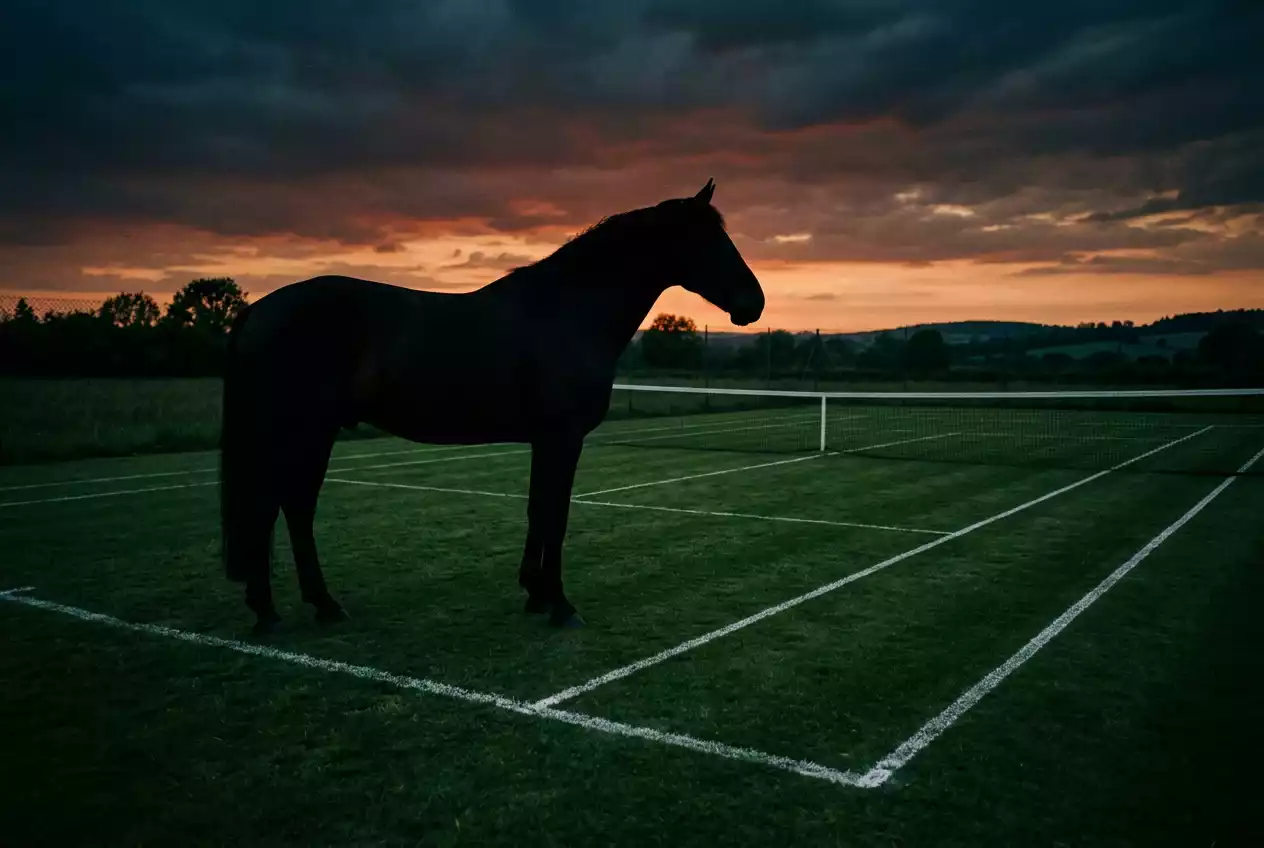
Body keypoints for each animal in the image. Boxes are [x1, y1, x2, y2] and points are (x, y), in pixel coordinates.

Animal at [219, 179, 765, 633]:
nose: (754, 303)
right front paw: (559, 604)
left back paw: (323, 605)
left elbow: (538, 508)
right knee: (273, 507)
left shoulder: (545, 440)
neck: (569, 310)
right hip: (299, 431)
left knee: (295, 507)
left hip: (315, 433)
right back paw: (269, 611)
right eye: (710, 240)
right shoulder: (563, 437)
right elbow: (556, 514)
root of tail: (257, 310)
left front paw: (535, 594)